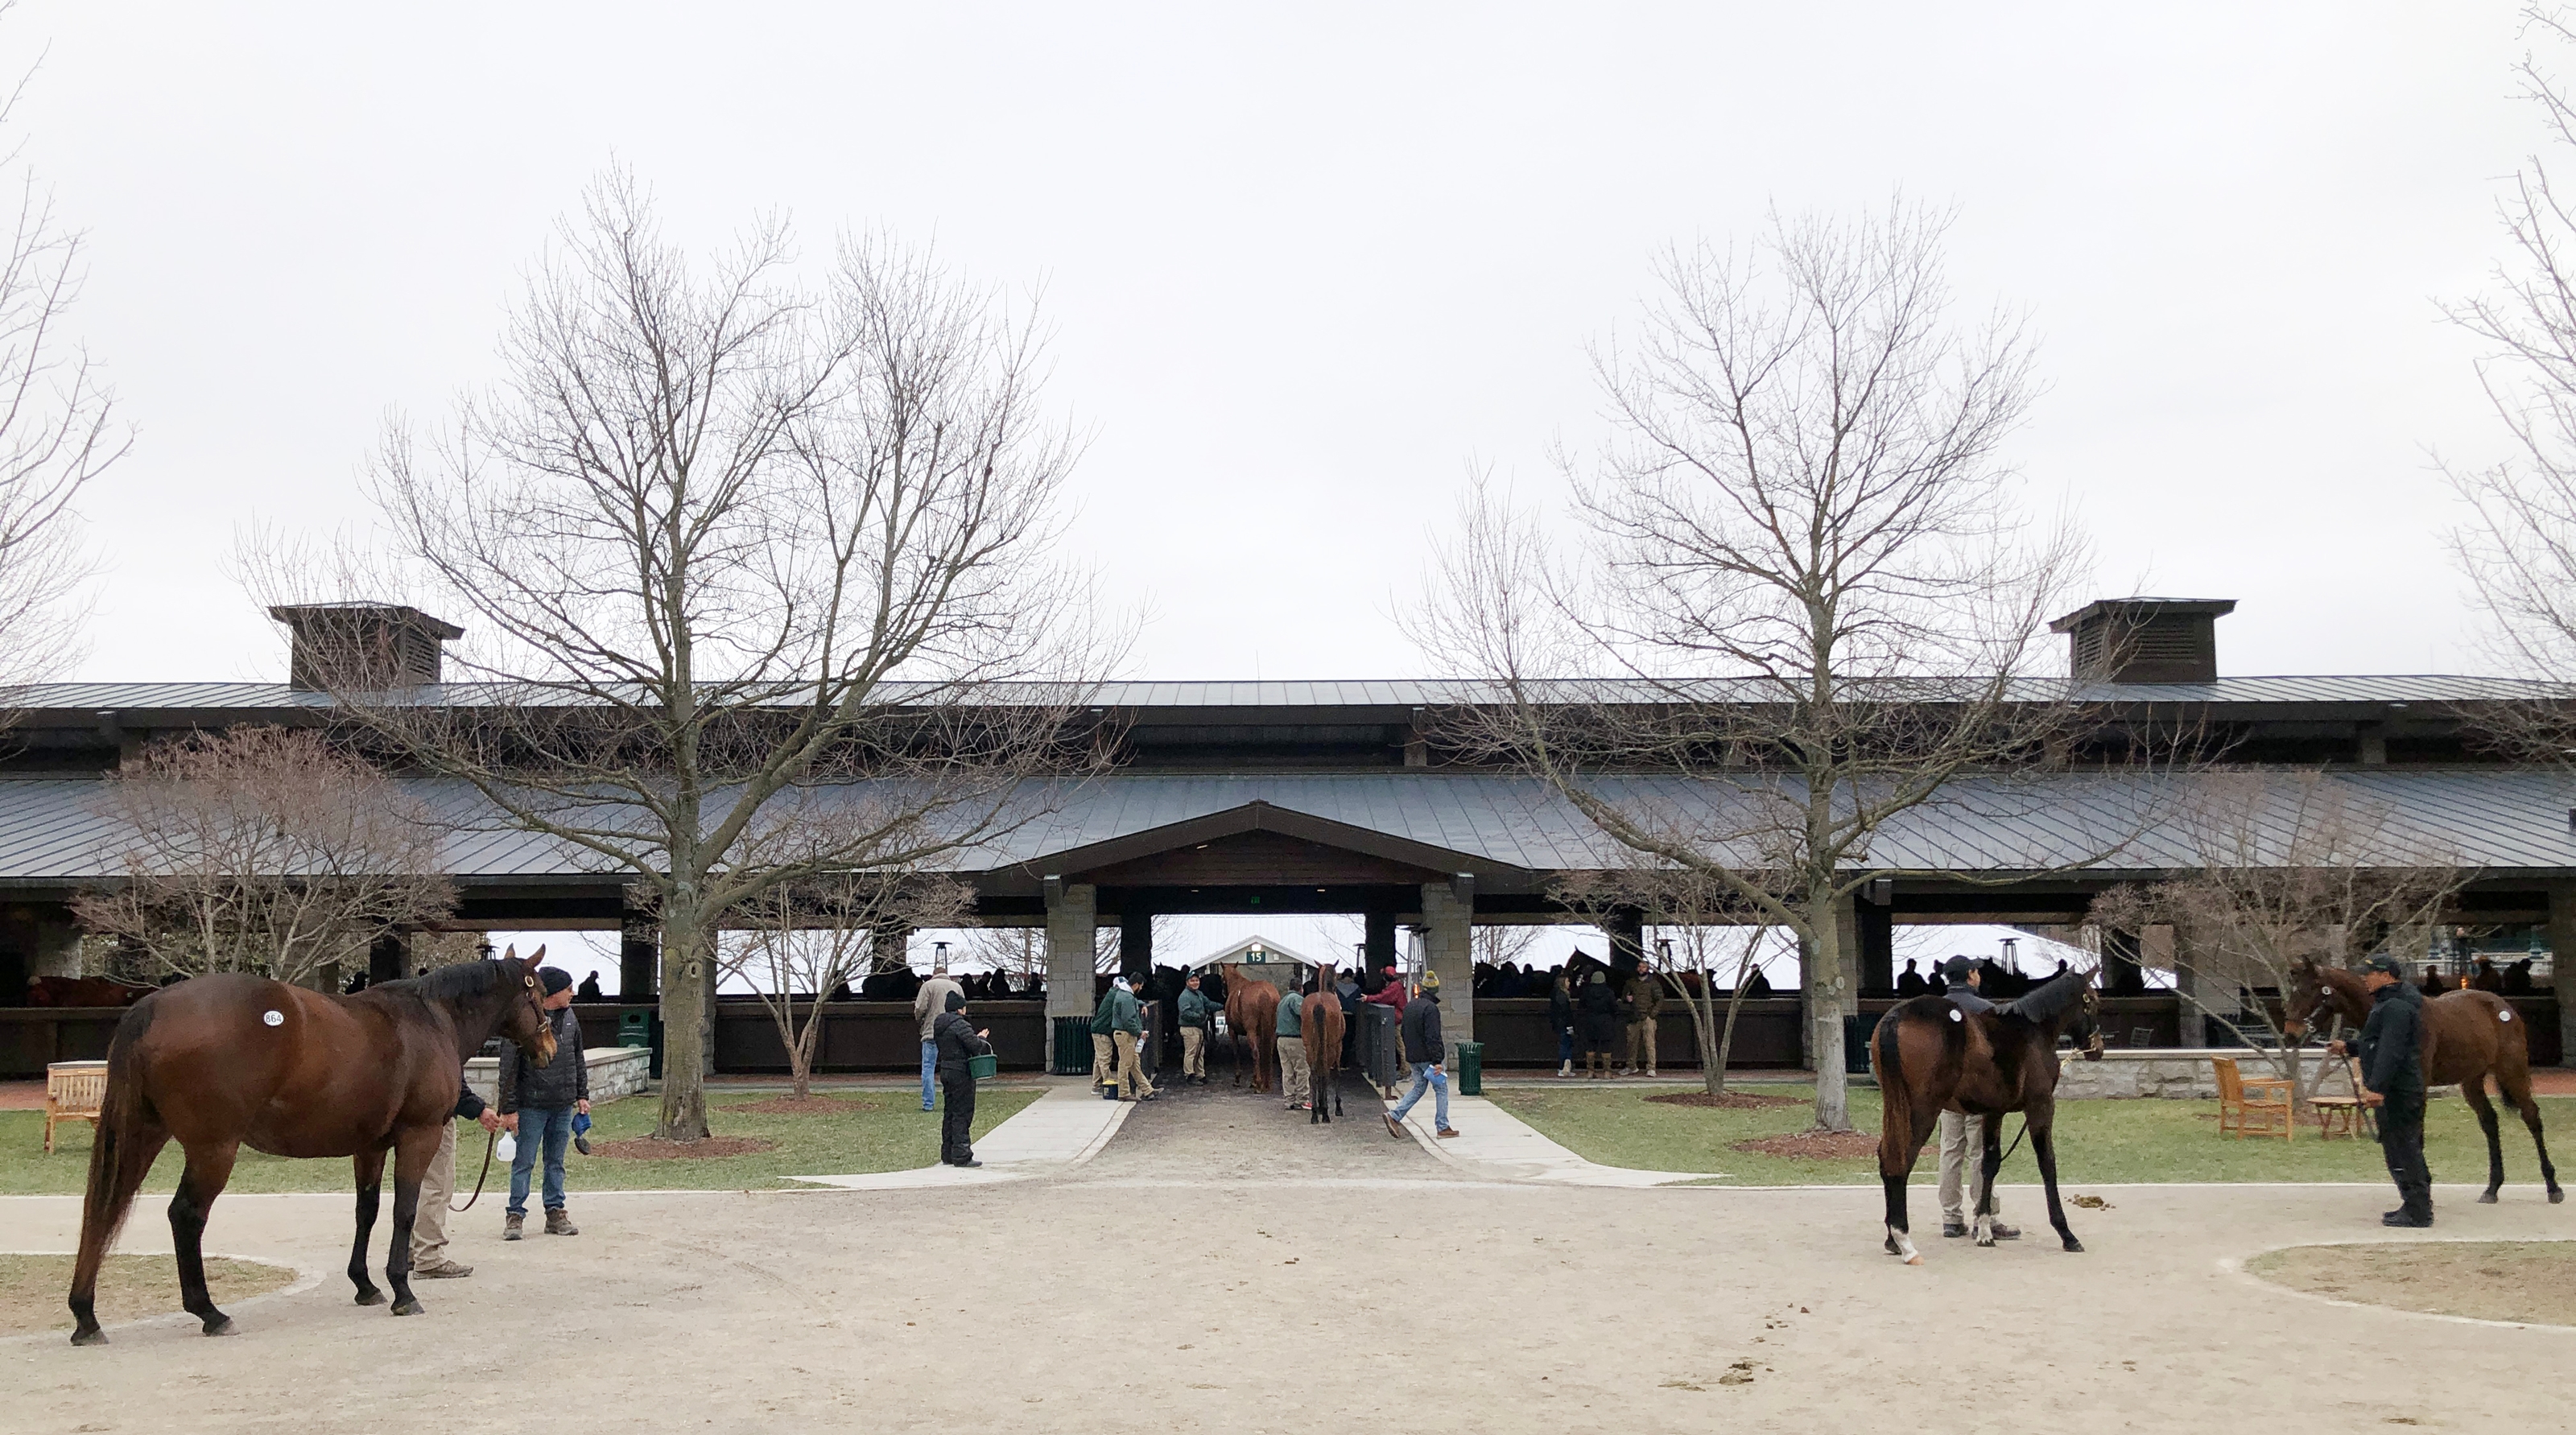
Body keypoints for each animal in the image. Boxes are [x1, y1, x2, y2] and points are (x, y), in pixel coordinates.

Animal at [69, 947, 559, 1339]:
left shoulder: (370, 1146)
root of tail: (152, 1005)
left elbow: (367, 1212)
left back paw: (85, 1317)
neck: (430, 1018)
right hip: (213, 1149)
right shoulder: (418, 1136)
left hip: (143, 1134)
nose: (550, 1047)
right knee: (185, 1216)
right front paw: (401, 1289)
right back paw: (209, 1312)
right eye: (537, 993)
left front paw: (365, 1285)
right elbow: (404, 1211)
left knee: (103, 1210)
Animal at [1216, 963, 1278, 1097]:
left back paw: (1259, 1085)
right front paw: (1253, 1080)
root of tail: (1264, 993)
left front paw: (1238, 1079)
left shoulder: (1232, 1031)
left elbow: (1237, 1051)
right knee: (1268, 1052)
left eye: (1221, 977)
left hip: (1251, 1032)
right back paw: (1266, 1083)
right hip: (1271, 1032)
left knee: (1256, 1052)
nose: (1223, 993)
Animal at [1308, 963, 1349, 1118]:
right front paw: (1337, 1106)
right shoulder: (1338, 1045)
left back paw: (1316, 1111)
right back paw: (1325, 1112)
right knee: (1325, 1070)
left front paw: (1320, 1103)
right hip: (1329, 1046)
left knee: (1315, 1072)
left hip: (1311, 1046)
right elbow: (1336, 1071)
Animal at [1875, 968, 2112, 1257]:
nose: (2097, 1049)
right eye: (2094, 1001)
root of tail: (1897, 1016)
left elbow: (1989, 1164)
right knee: (1901, 1161)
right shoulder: (2041, 1106)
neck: (2034, 1030)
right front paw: (2066, 1233)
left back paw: (1892, 1238)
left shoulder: (1993, 1113)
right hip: (1922, 1111)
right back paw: (1902, 1237)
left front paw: (1985, 1230)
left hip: (1897, 1107)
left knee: (1888, 1158)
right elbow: (2047, 1163)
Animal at [2297, 958, 2555, 1200]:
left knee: (2531, 1116)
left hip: (2512, 1071)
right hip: (2472, 1080)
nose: (2293, 1030)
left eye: (2307, 989)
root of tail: (2505, 1008)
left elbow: (2415, 1137)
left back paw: (2553, 1187)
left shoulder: (2416, 1090)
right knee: (2490, 1122)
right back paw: (2492, 1188)